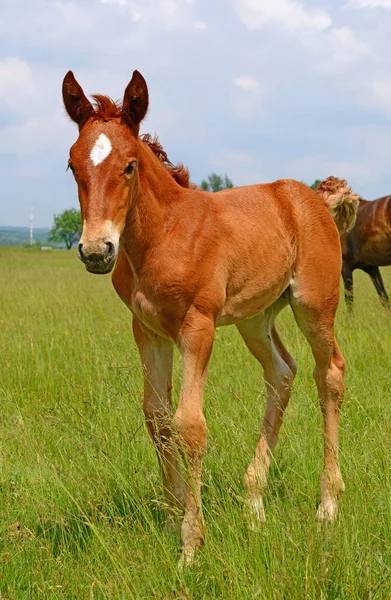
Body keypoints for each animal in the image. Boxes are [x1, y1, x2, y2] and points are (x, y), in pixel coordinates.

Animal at [62, 71, 360, 568]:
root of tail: (313, 197)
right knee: (282, 373)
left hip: (314, 305)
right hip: (255, 317)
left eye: (129, 166)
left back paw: (328, 506)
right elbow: (157, 418)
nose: (96, 250)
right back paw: (254, 503)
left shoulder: (196, 328)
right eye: (72, 166)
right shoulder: (147, 331)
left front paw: (190, 545)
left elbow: (190, 426)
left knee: (329, 373)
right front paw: (171, 519)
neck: (163, 236)